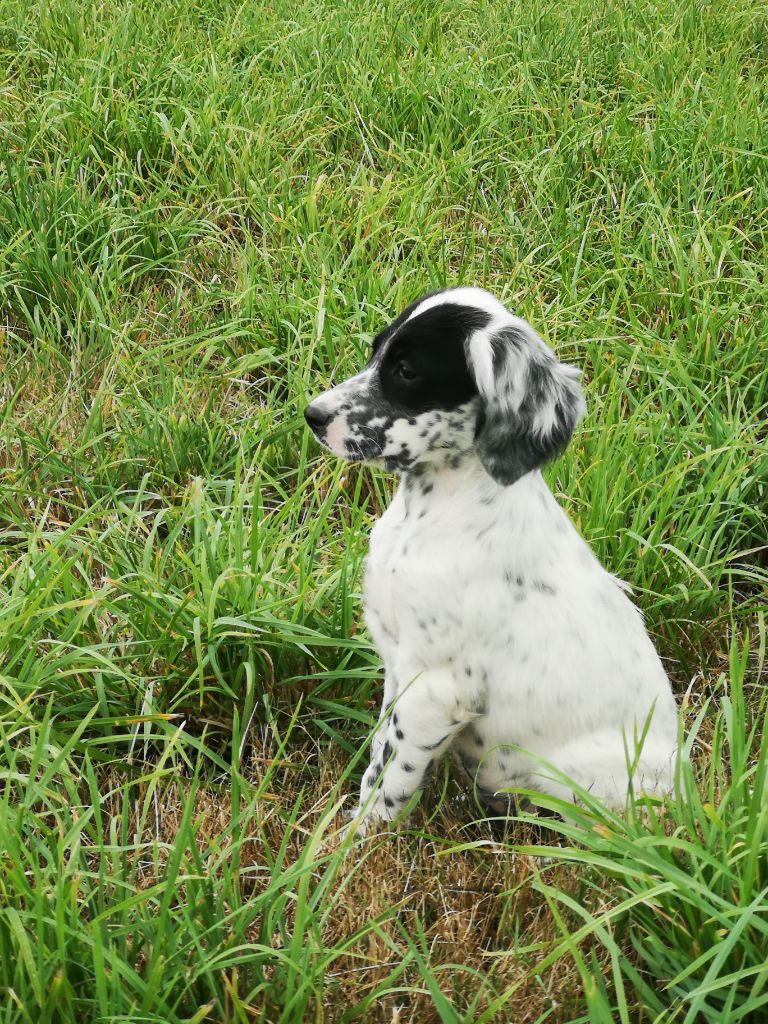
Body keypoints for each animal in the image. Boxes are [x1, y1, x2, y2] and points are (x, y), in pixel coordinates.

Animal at [303, 284, 675, 827]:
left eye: (406, 370)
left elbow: (387, 777)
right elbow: (380, 744)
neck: (430, 513)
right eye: (376, 352)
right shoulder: (398, 662)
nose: (313, 415)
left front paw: (350, 841)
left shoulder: (434, 687)